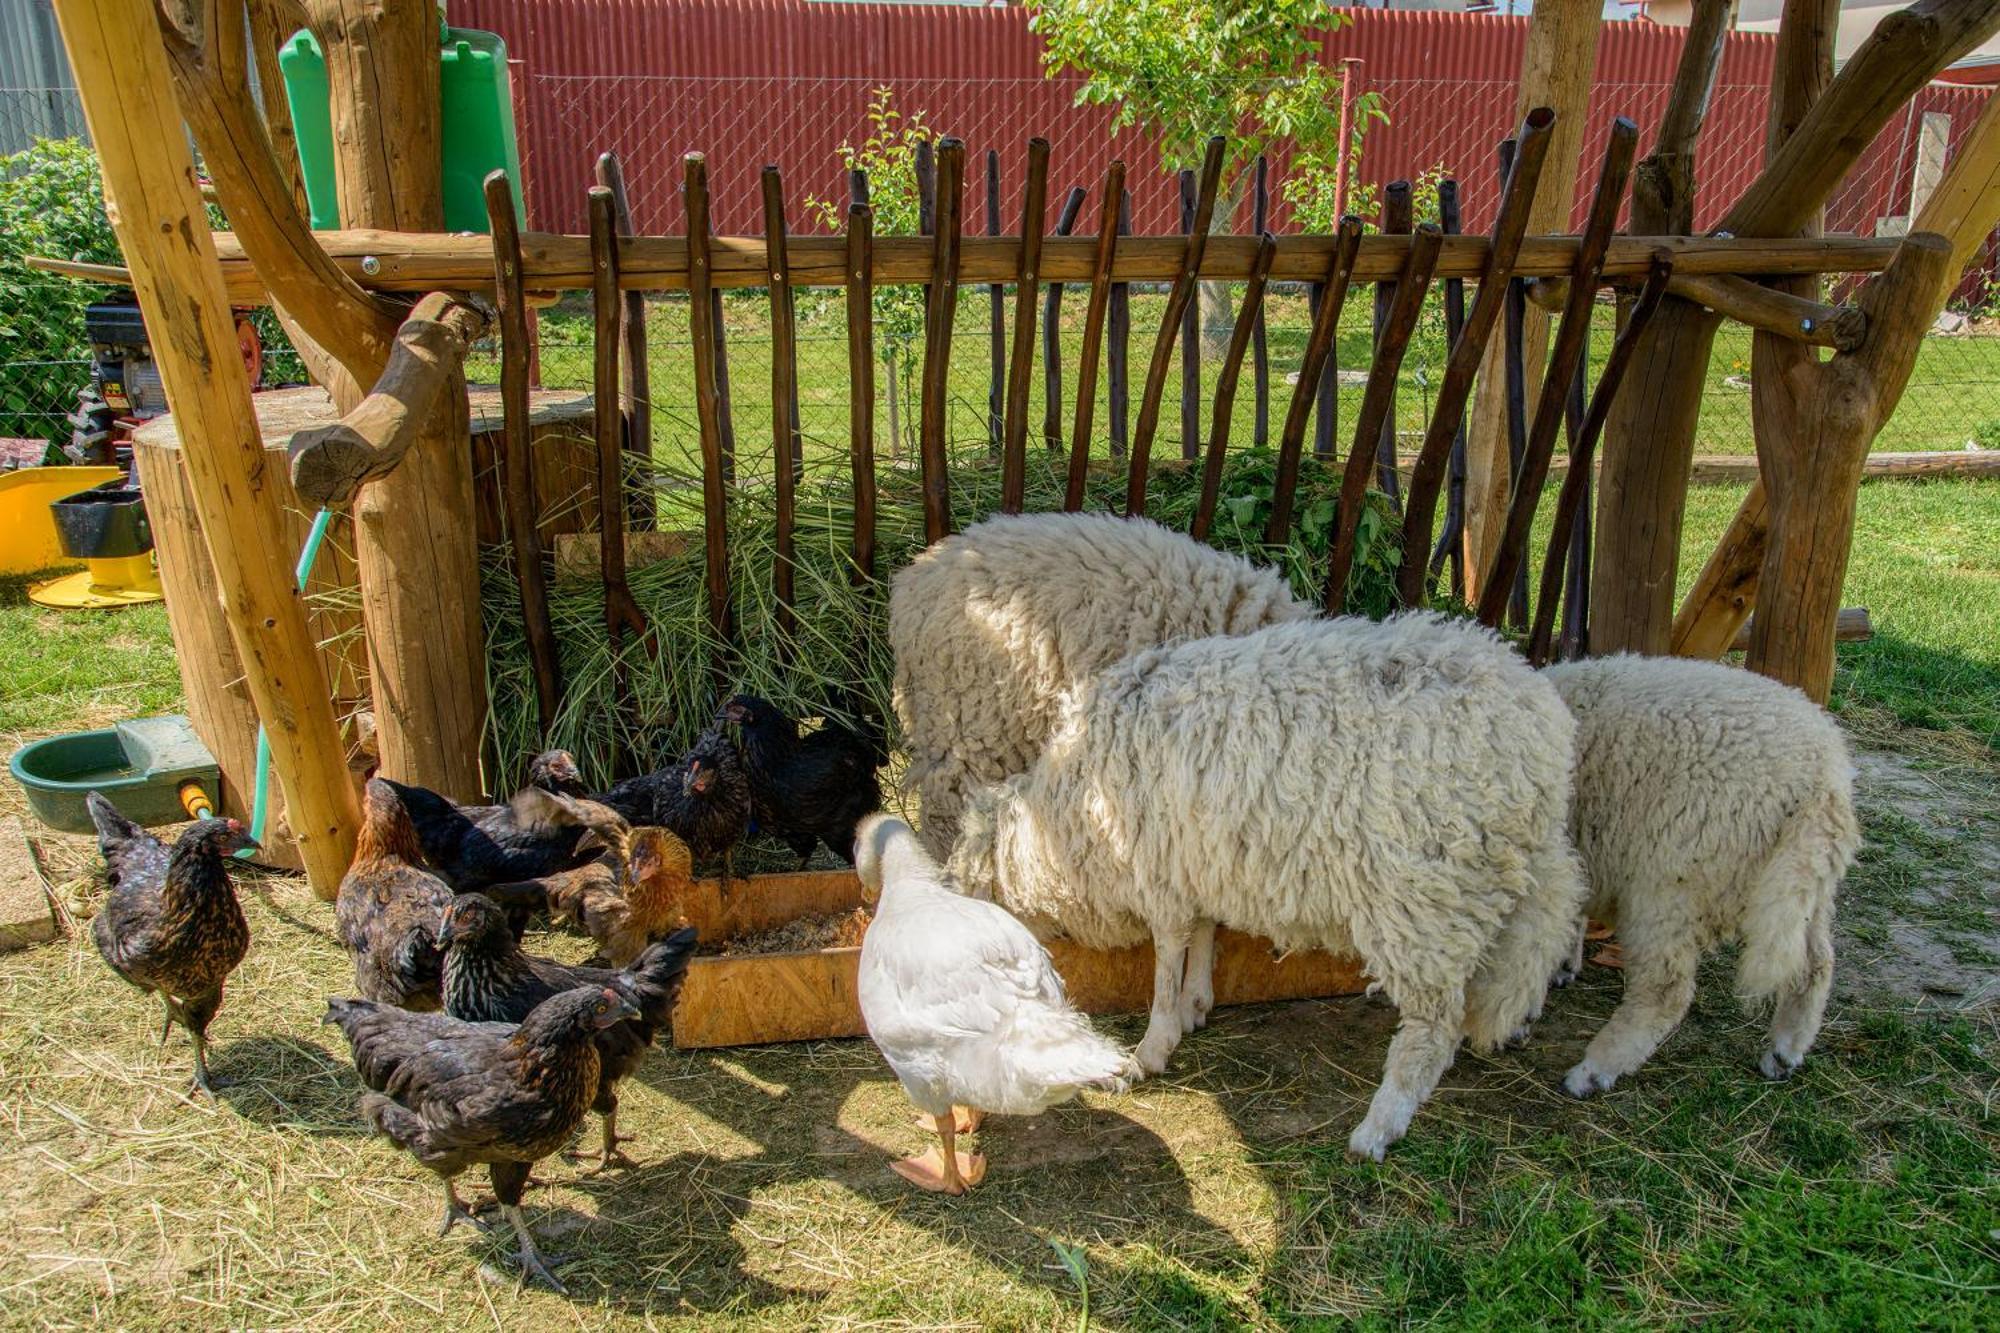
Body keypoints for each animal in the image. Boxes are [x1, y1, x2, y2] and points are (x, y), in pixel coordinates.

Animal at [944, 608, 1584, 1152]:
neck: (1063, 819)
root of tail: (1539, 734)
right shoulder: (1197, 862)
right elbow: (1204, 935)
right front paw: (1197, 1004)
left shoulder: (1159, 873)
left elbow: (1165, 960)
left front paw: (1153, 1046)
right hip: (1506, 878)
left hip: (1423, 898)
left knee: (1432, 1028)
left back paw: (1379, 1126)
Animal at [1544, 648, 1856, 1096]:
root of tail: (1822, 780)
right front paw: (1565, 963)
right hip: (1802, 885)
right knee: (1815, 964)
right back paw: (1785, 1051)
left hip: (1674, 880)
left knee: (1665, 991)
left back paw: (1593, 1071)